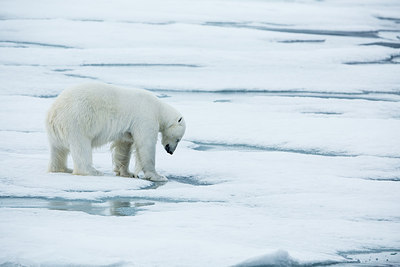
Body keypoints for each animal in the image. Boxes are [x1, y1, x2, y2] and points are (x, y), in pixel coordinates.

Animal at [46, 83, 187, 182]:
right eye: (178, 139)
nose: (170, 151)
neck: (158, 108)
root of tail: (54, 113)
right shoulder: (145, 118)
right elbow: (146, 145)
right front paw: (158, 176)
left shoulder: (127, 130)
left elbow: (123, 146)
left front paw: (127, 173)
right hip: (78, 121)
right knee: (81, 147)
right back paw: (93, 171)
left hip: (57, 131)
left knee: (58, 151)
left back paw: (62, 169)